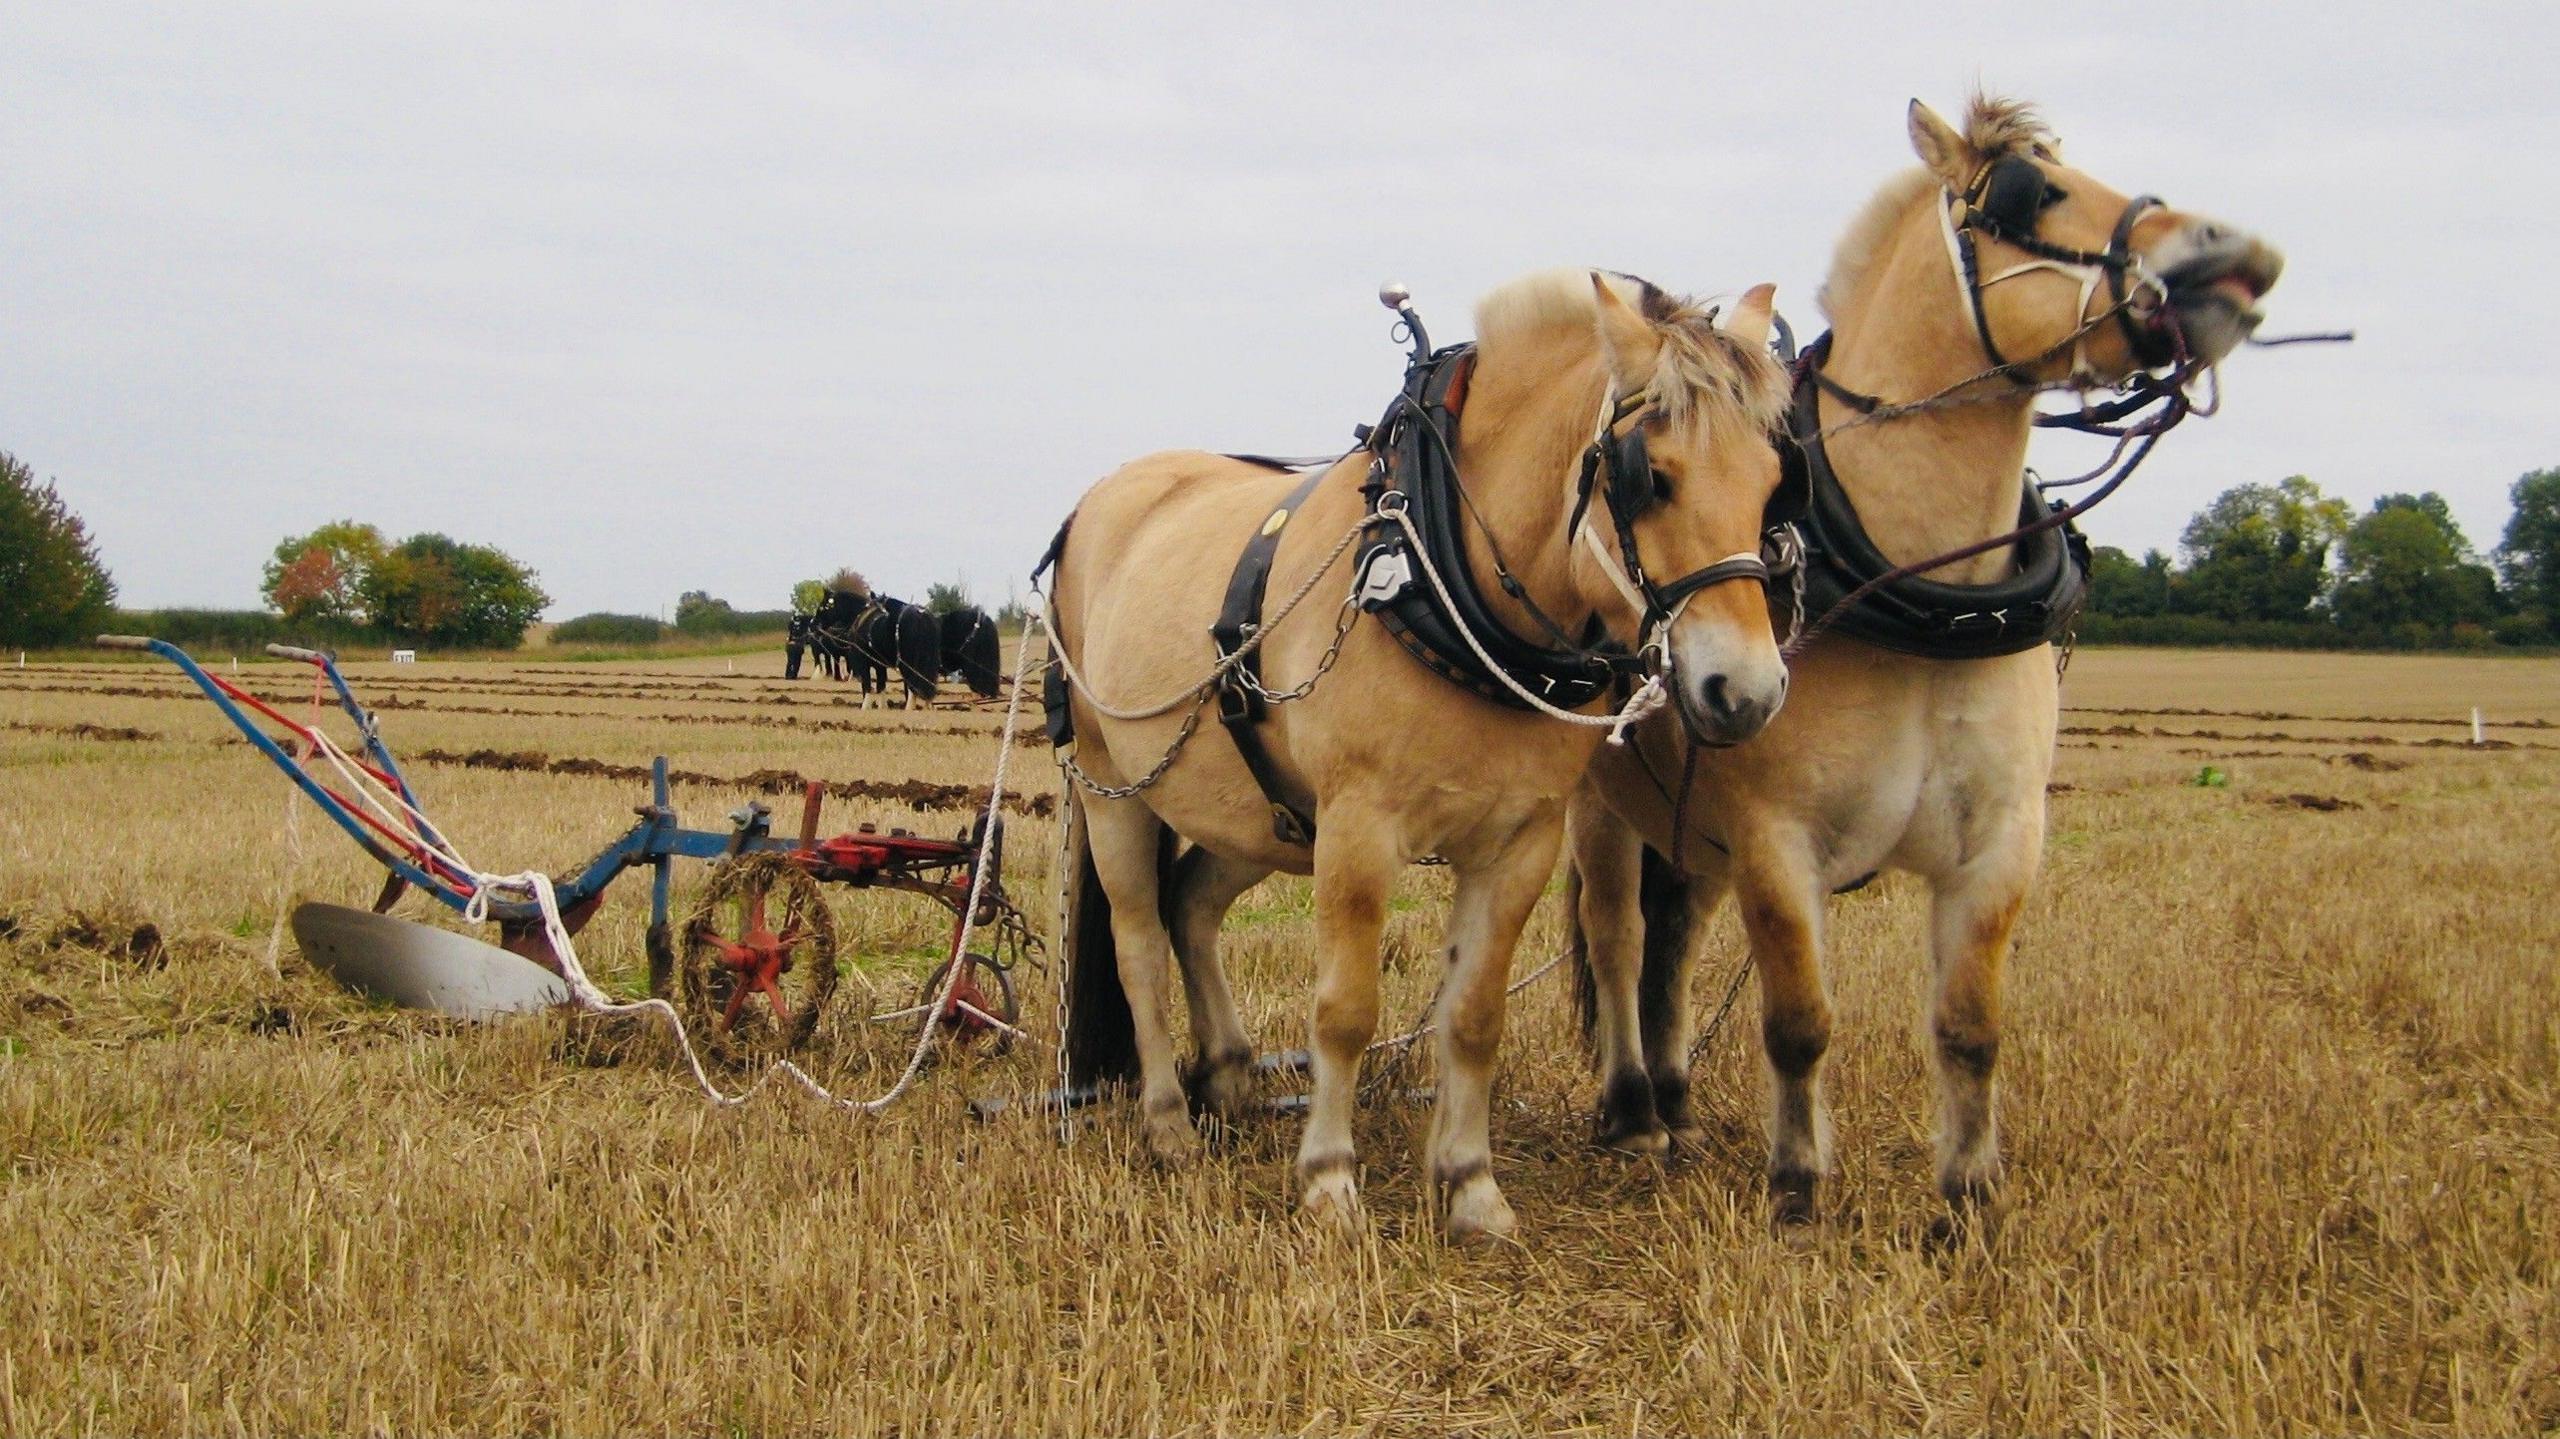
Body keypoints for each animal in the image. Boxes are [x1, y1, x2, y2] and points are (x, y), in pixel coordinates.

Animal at [1049, 271, 1792, 1234]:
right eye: (1649, 477)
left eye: (1773, 480)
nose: (1747, 691)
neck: (1440, 569)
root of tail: (1096, 503)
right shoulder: (1358, 828)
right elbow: (1344, 1009)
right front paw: (1329, 1178)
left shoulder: (1520, 840)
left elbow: (1473, 1014)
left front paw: (1471, 1183)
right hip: (1116, 786)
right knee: (1139, 936)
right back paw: (1170, 1123)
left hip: (1258, 813)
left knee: (1192, 906)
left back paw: (1230, 1076)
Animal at [1566, 92, 2293, 1234]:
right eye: (2028, 193)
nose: (2238, 260)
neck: (1918, 593)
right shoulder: (1775, 842)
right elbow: (1799, 1019)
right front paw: (1796, 1184)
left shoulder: (1999, 843)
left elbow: (1968, 1023)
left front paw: (1968, 1196)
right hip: (1604, 809)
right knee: (1618, 934)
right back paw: (1635, 1110)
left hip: (1693, 828)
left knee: (1674, 938)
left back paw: (1678, 1104)